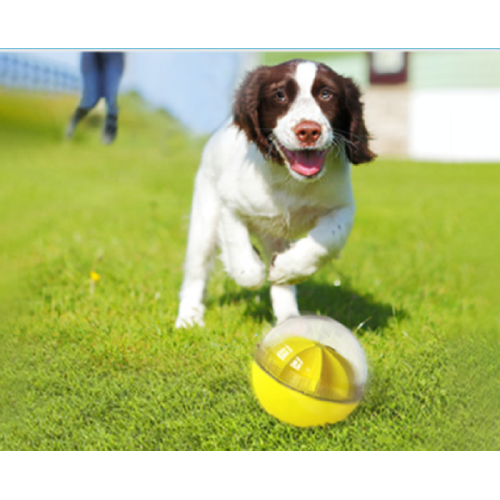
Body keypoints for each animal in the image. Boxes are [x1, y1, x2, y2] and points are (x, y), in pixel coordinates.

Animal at [176, 58, 376, 328]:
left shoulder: (341, 207)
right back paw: (188, 317)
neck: (290, 181)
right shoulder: (229, 204)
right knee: (196, 269)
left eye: (326, 94)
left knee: (282, 285)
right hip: (204, 217)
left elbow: (328, 240)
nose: (308, 131)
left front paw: (287, 268)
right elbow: (243, 262)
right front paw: (252, 264)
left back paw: (289, 317)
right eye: (279, 95)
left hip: (275, 236)